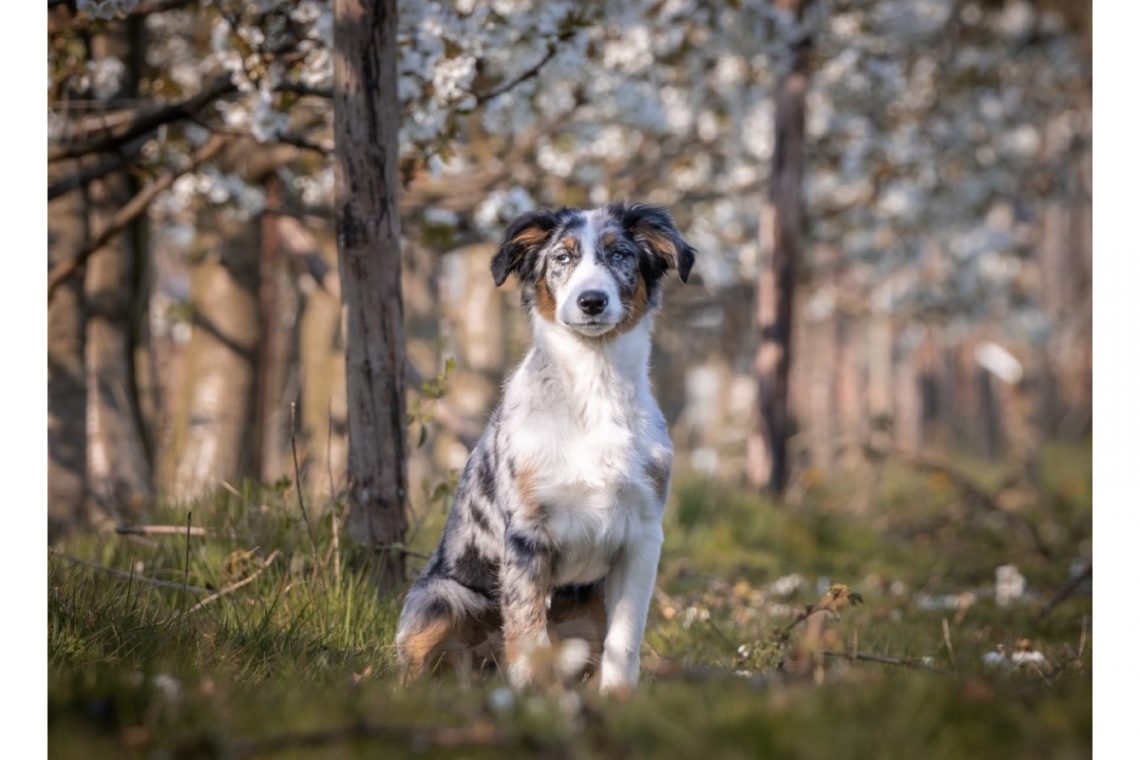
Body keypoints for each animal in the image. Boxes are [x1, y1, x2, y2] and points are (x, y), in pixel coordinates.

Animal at [392, 201, 693, 697]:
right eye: (562, 258)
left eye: (621, 256)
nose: (592, 301)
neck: (594, 387)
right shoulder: (526, 536)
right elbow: (528, 632)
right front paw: (530, 701)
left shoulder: (643, 536)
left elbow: (625, 639)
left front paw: (619, 701)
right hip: (442, 598)